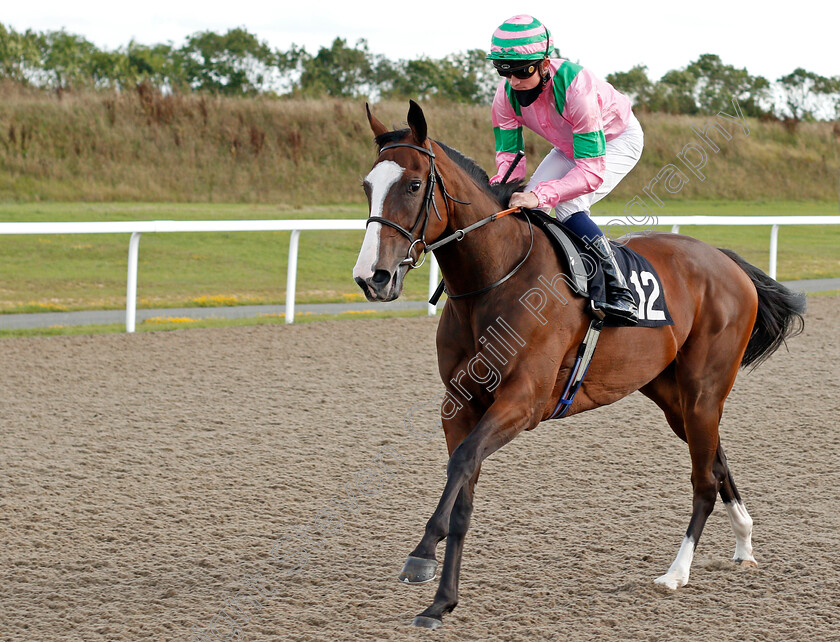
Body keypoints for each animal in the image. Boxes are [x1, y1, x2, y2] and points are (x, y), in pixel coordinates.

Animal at [352, 100, 804, 624]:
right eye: (367, 186)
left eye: (413, 184)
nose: (372, 277)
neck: (495, 279)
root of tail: (728, 262)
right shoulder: (460, 407)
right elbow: (462, 491)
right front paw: (442, 601)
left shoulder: (523, 403)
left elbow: (463, 463)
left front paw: (422, 554)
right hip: (672, 395)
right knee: (716, 459)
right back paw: (744, 544)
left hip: (704, 388)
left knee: (703, 478)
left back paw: (676, 573)